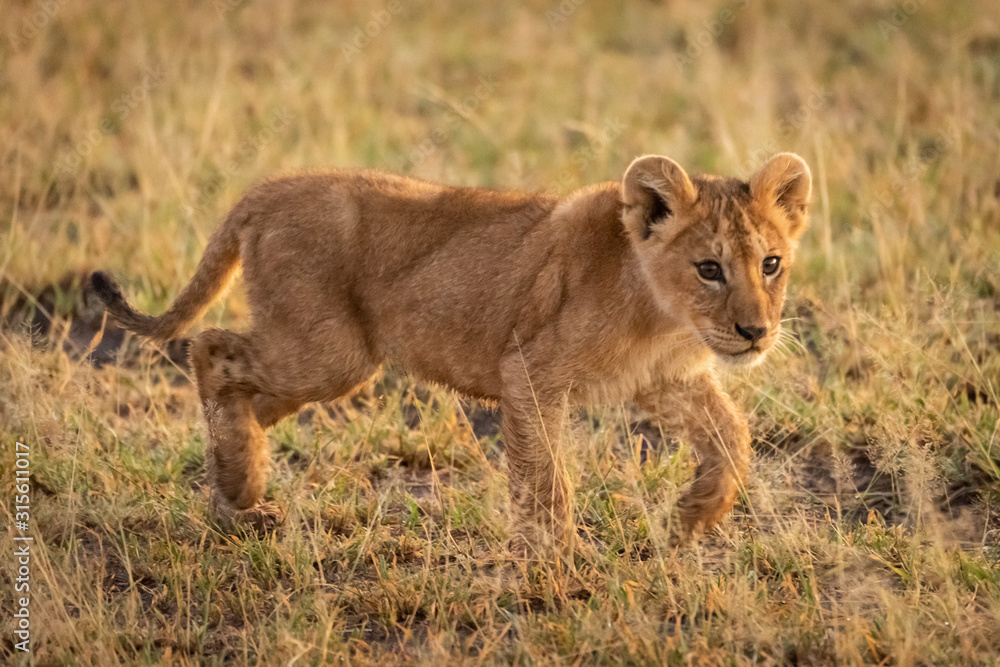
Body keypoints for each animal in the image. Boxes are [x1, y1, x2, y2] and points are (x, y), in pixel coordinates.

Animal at [91, 152, 811, 553]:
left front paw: (694, 516)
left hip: (327, 361)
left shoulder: (666, 381)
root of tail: (266, 189)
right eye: (710, 269)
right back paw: (240, 489)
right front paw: (560, 563)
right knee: (210, 349)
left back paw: (241, 497)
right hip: (327, 350)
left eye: (771, 263)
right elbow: (546, 475)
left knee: (245, 396)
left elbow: (733, 436)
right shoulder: (530, 372)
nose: (755, 332)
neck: (663, 316)